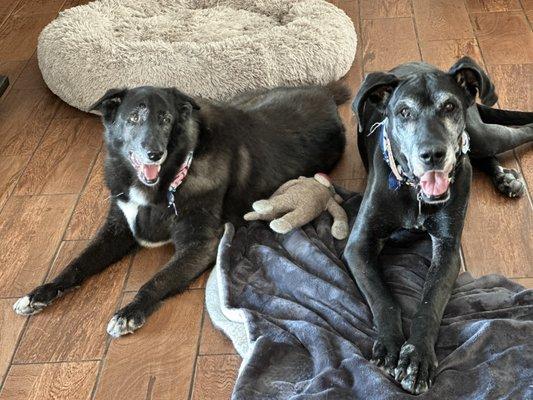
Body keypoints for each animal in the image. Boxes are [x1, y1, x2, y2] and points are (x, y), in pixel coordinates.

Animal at [13, 83, 350, 338]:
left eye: (165, 119)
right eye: (133, 118)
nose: (154, 153)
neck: (169, 179)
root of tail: (324, 93)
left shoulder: (200, 244)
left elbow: (158, 280)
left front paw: (130, 311)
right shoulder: (117, 229)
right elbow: (77, 264)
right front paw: (41, 292)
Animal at [344, 56, 532, 394]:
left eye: (449, 107)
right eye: (404, 112)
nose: (433, 154)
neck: (414, 193)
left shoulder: (447, 248)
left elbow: (430, 302)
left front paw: (417, 359)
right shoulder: (359, 245)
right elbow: (384, 299)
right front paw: (390, 346)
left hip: (484, 134)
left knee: (500, 140)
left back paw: (504, 175)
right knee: (477, 154)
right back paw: (502, 177)